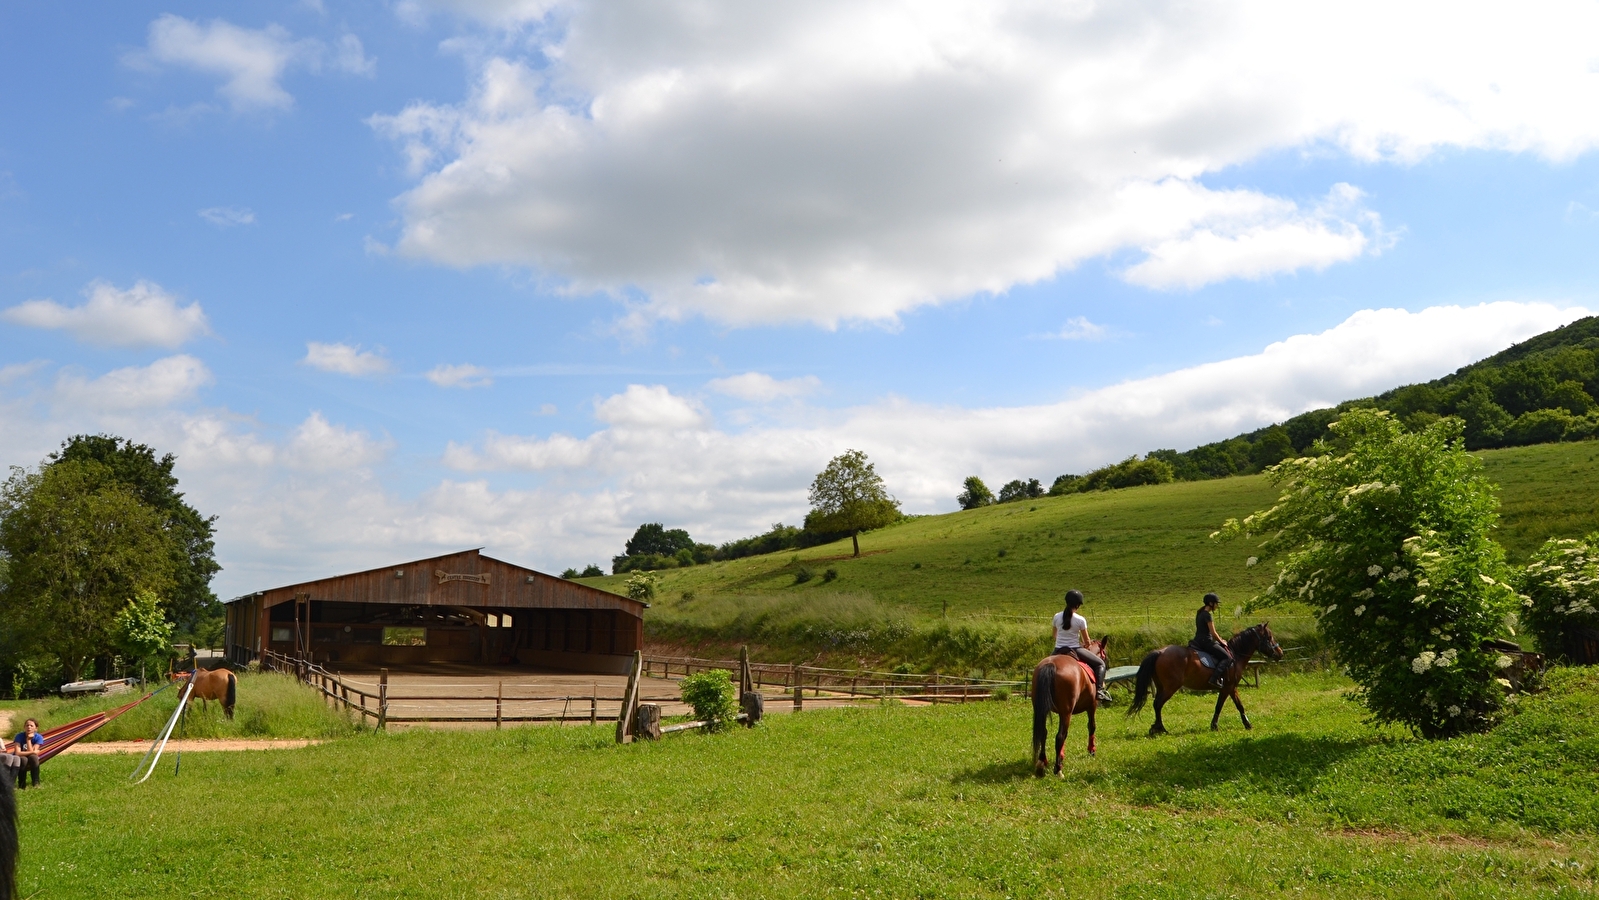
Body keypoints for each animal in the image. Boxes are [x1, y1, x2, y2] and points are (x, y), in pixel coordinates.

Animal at [1029, 636, 1106, 776]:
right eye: (1105, 654)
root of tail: (1050, 665)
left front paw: (1061, 755)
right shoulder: (1092, 706)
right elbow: (1091, 726)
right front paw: (1091, 750)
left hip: (1042, 710)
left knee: (1044, 732)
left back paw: (1042, 762)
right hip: (1067, 711)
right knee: (1060, 736)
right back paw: (1058, 769)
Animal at [1132, 623, 1279, 735]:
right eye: (1269, 637)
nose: (1280, 653)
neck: (1235, 655)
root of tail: (1159, 652)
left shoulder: (1231, 688)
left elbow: (1239, 705)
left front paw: (1247, 724)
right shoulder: (1227, 687)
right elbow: (1220, 706)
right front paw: (1215, 726)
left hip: (1161, 686)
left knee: (1156, 703)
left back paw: (1155, 728)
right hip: (1171, 687)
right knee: (1158, 704)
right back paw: (1161, 728)